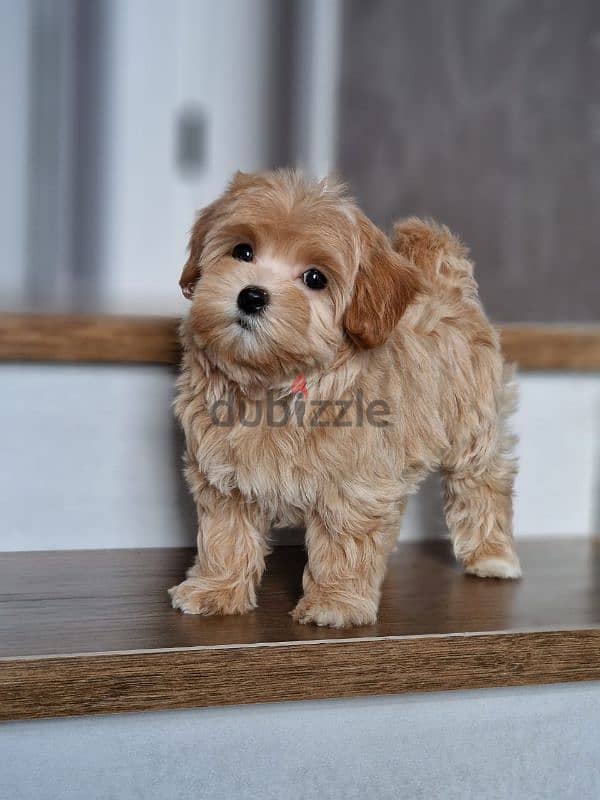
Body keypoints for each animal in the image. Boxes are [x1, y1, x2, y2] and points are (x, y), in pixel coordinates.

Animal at [170, 169, 520, 628]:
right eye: (242, 251)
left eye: (315, 278)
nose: (252, 295)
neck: (274, 380)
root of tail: (446, 282)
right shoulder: (223, 475)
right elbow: (225, 534)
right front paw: (216, 589)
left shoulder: (354, 483)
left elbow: (345, 540)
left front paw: (335, 602)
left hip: (472, 423)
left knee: (482, 483)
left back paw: (491, 555)